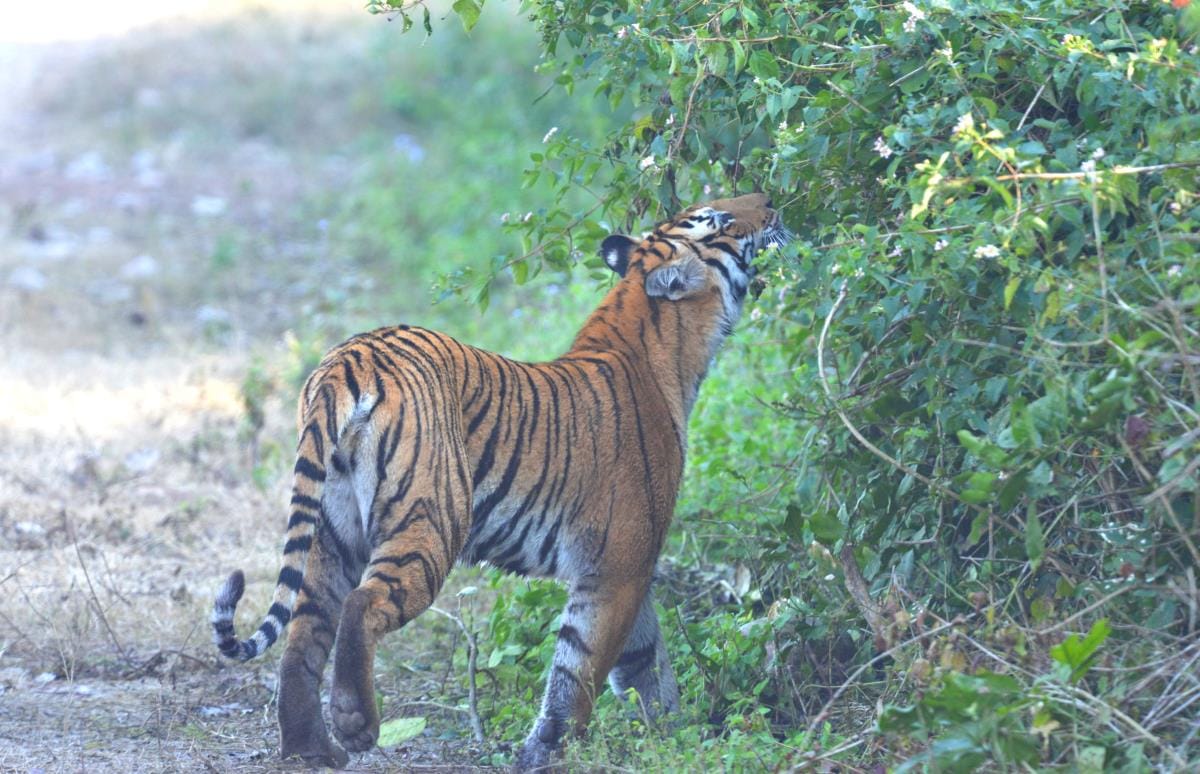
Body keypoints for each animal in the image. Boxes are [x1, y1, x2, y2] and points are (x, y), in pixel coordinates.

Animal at [211, 192, 790, 769]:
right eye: (718, 219)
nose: (769, 201)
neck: (663, 349)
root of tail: (349, 359)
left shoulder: (628, 568)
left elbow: (645, 661)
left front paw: (673, 735)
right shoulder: (617, 567)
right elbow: (580, 669)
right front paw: (549, 750)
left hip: (333, 530)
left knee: (306, 627)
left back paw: (310, 749)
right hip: (432, 520)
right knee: (361, 604)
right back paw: (356, 725)